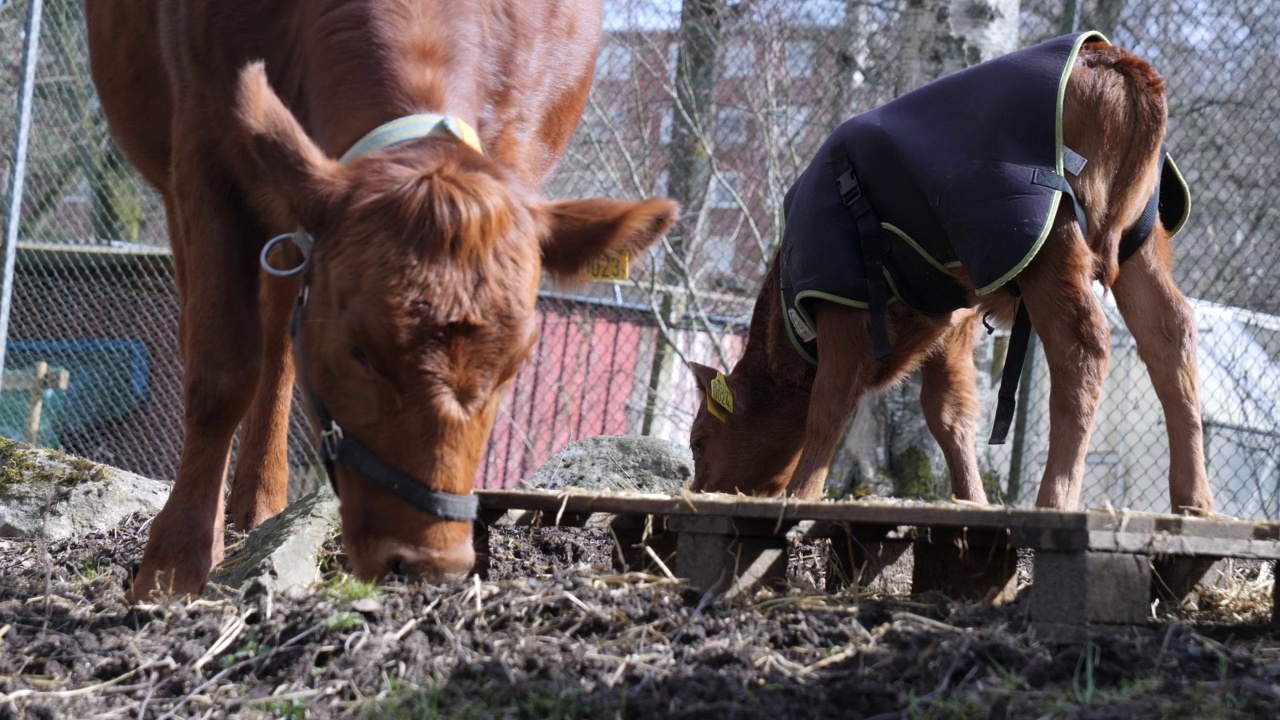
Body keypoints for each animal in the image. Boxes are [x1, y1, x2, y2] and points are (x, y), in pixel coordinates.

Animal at [87, 0, 680, 599]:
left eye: (514, 367)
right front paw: (174, 565)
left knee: (279, 334)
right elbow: (221, 374)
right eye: (360, 352)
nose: (429, 564)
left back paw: (259, 501)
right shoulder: (202, 145)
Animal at [686, 36, 1213, 512]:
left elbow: (829, 405)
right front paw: (972, 499)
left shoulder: (843, 304)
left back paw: (1055, 499)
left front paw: (801, 495)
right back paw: (1193, 500)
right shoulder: (951, 318)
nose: (698, 489)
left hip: (1044, 235)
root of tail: (1109, 57)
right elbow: (948, 413)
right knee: (1171, 333)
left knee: (1081, 346)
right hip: (1140, 239)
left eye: (698, 441)